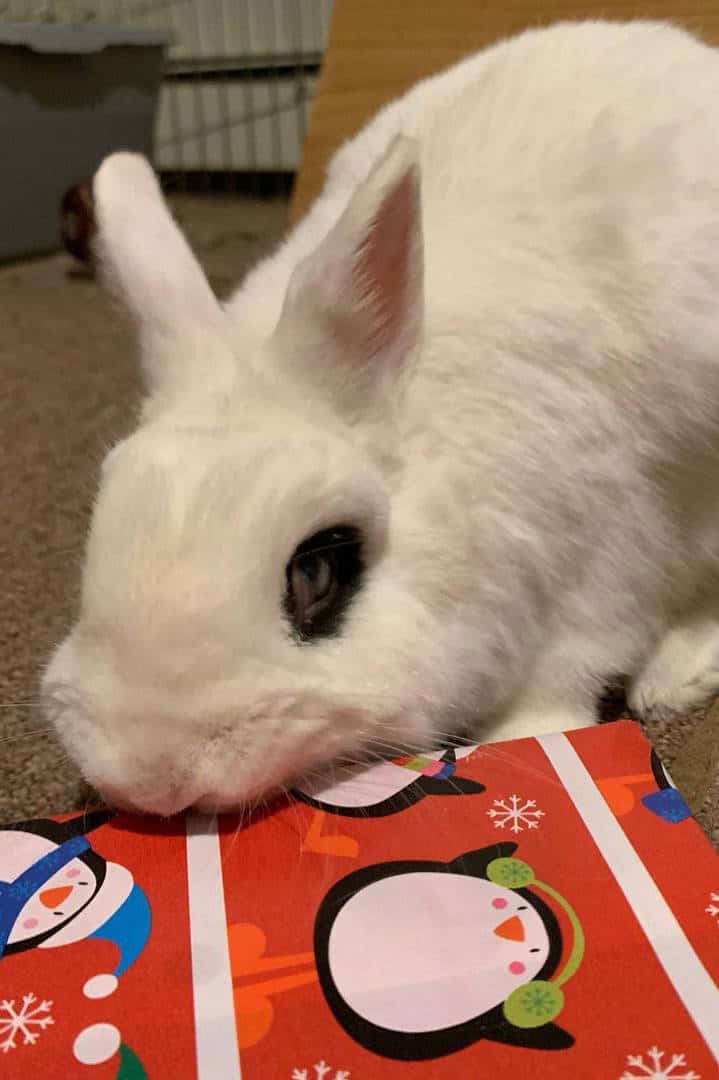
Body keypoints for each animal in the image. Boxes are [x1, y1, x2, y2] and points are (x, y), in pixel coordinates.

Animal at [40, 19, 719, 812]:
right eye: (100, 529)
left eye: (317, 572)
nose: (151, 776)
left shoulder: (609, 557)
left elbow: (564, 675)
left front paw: (527, 739)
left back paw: (674, 676)